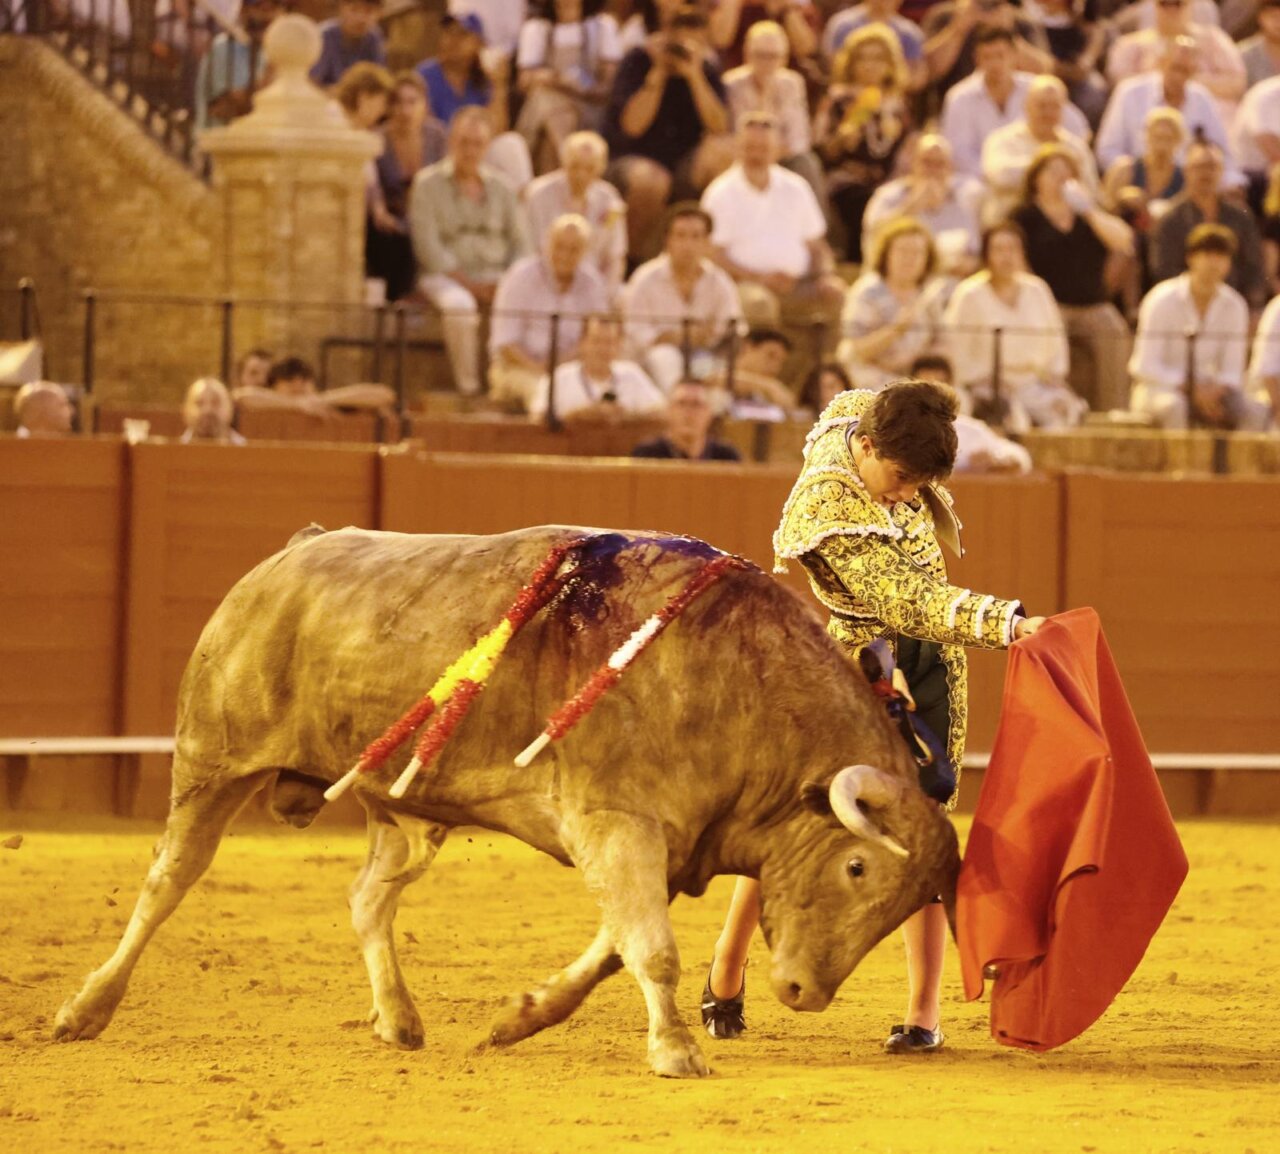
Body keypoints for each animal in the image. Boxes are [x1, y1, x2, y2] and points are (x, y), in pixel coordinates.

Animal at [55, 525, 960, 1077]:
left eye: (901, 906)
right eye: (855, 868)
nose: (804, 991)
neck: (747, 690)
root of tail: (290, 553)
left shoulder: (658, 848)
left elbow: (611, 952)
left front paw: (520, 1018)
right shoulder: (618, 826)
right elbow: (652, 950)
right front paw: (676, 1052)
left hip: (402, 809)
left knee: (367, 898)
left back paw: (399, 1020)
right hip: (211, 763)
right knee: (167, 881)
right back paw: (84, 1011)